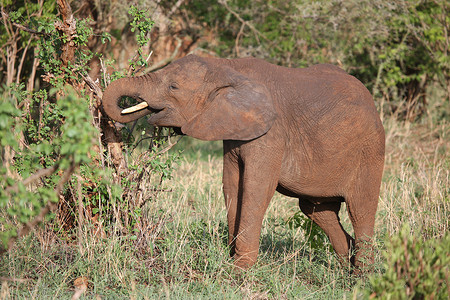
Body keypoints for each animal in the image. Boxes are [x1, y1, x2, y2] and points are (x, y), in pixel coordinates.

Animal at [102, 54, 384, 272]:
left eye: (173, 87)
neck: (226, 66)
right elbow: (231, 184)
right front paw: (231, 258)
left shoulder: (271, 133)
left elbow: (256, 187)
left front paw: (239, 270)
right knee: (318, 210)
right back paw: (347, 265)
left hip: (370, 151)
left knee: (360, 209)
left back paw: (362, 275)